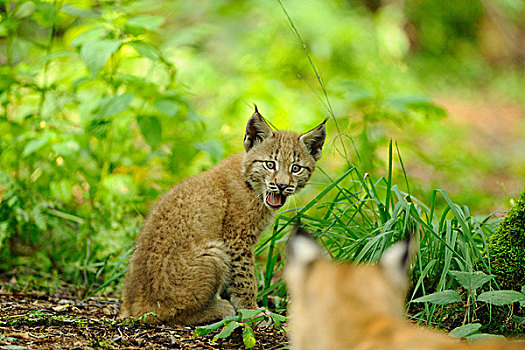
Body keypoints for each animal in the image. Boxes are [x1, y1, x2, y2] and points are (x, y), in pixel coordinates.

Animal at [121, 109, 326, 326]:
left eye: (296, 168)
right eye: (270, 164)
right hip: (215, 251)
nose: (281, 185)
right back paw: (220, 309)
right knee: (172, 315)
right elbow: (246, 278)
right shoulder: (237, 239)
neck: (252, 186)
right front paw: (251, 311)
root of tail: (134, 308)